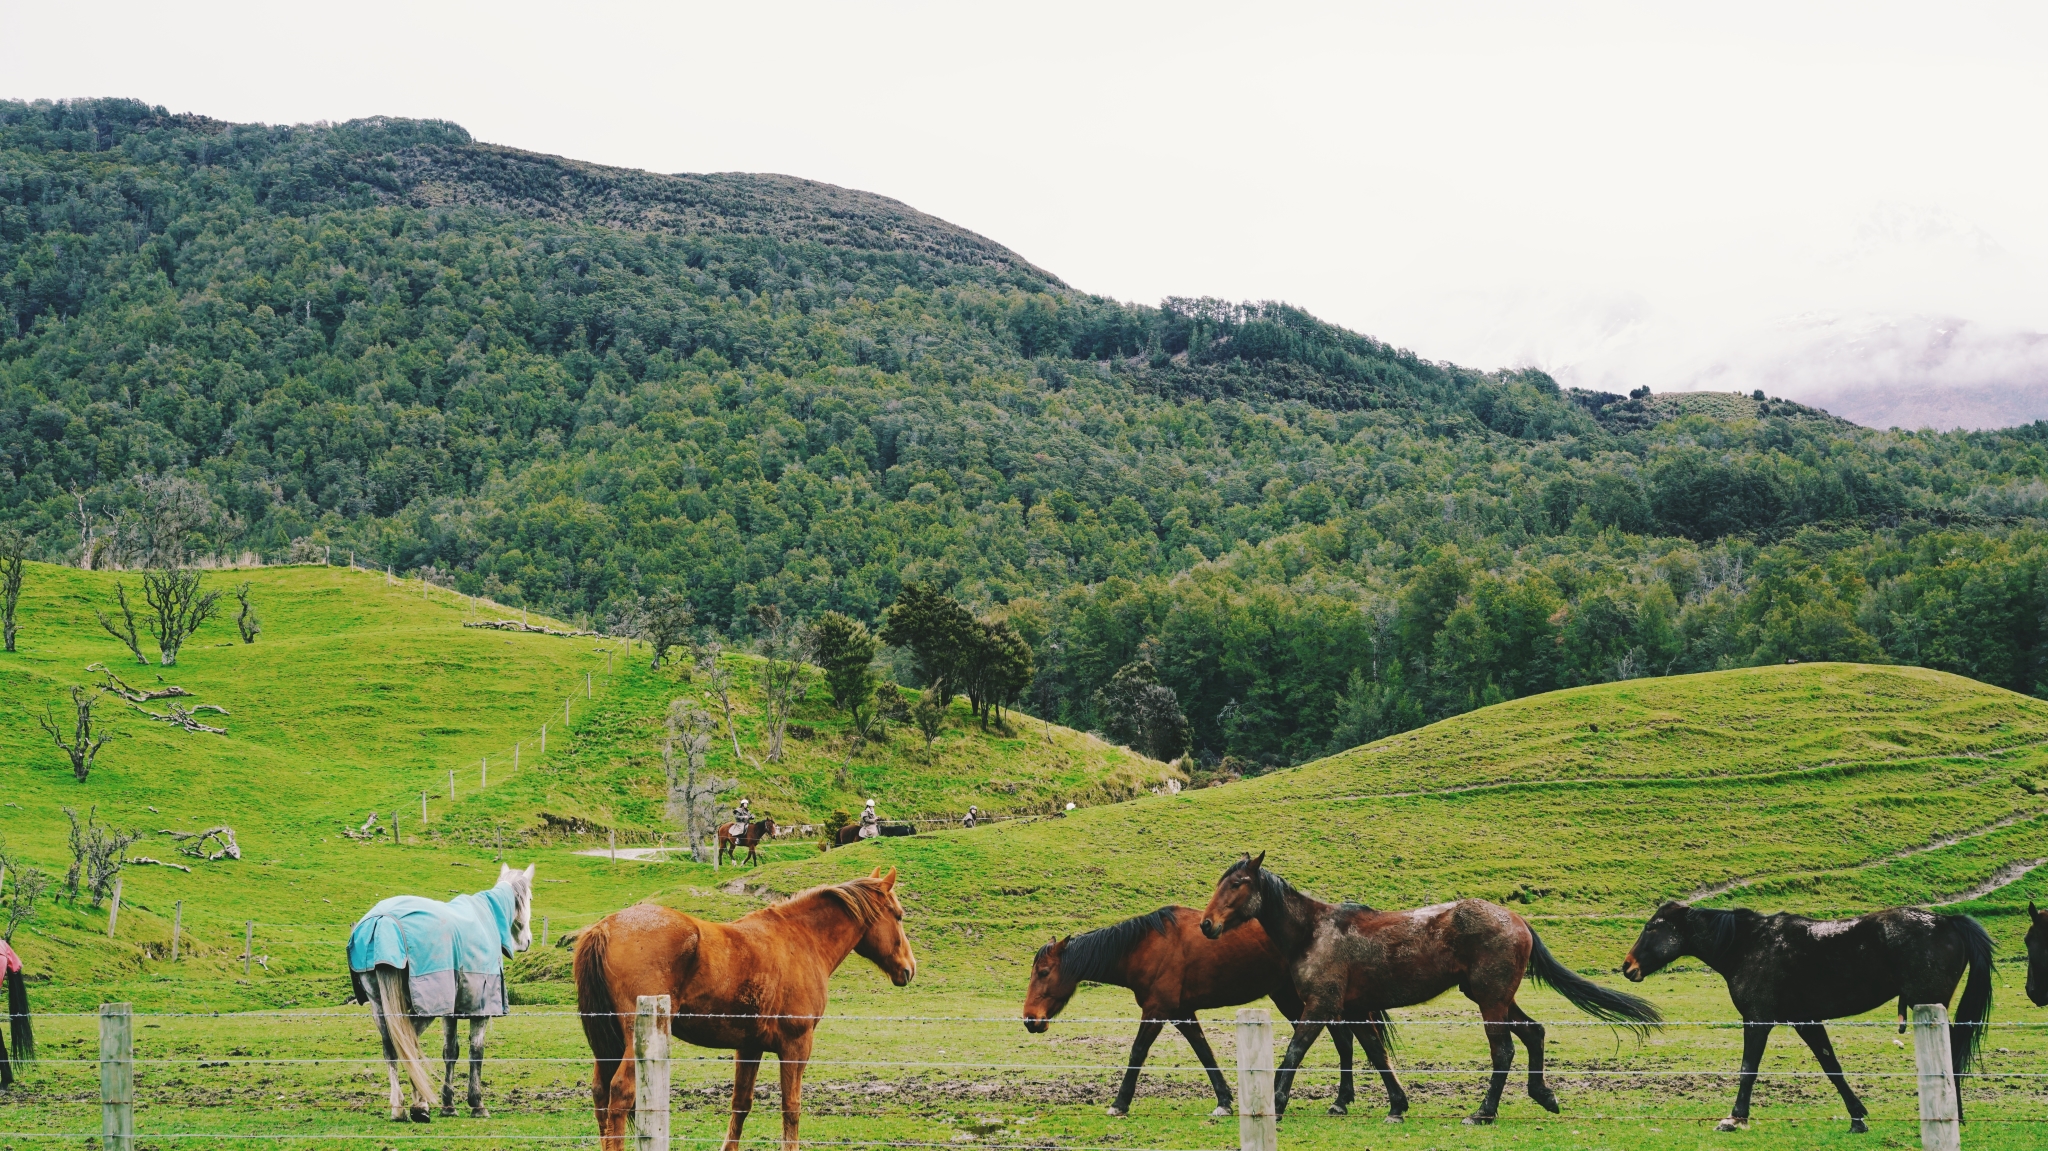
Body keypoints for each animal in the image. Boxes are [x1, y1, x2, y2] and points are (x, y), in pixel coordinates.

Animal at [348, 860, 536, 1122]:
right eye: (530, 898)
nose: (528, 941)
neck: (487, 918)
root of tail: (384, 921)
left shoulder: (450, 1008)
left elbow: (450, 1051)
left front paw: (448, 1104)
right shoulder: (480, 1008)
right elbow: (476, 1051)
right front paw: (477, 1104)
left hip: (380, 1004)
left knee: (392, 1047)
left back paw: (399, 1108)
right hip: (423, 1008)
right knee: (408, 1042)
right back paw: (419, 1105)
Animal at [565, 868, 909, 1146]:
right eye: (899, 915)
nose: (909, 968)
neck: (801, 940)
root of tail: (604, 927)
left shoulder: (750, 1047)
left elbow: (740, 1105)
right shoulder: (797, 1045)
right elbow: (791, 1109)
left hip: (608, 1045)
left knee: (600, 1094)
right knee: (620, 1094)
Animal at [1015, 905, 1400, 1114]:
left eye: (1044, 972)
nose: (1030, 1019)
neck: (1144, 948)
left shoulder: (1156, 1011)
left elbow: (1137, 1052)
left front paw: (1119, 1103)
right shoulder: (1182, 1013)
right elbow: (1204, 1052)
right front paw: (1224, 1101)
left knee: (1345, 1039)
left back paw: (1341, 1100)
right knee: (1344, 1040)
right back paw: (1342, 1099)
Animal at [1196, 851, 1662, 1122]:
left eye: (1237, 884)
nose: (1206, 925)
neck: (1315, 931)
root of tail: (1516, 919)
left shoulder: (1320, 1006)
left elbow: (1294, 1053)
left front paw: (1275, 1105)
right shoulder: (1355, 1009)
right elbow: (1376, 1054)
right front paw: (1396, 1106)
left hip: (1491, 1001)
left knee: (1504, 1052)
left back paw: (1483, 1112)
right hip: (1496, 998)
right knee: (1534, 1033)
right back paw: (1542, 1094)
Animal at [1622, 897, 1990, 1130]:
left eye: (1652, 927)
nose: (1628, 966)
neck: (1749, 945)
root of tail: (1947, 921)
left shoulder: (1758, 1020)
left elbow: (1748, 1070)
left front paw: (1735, 1118)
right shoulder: (1807, 1021)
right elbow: (1832, 1067)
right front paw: (1857, 1118)